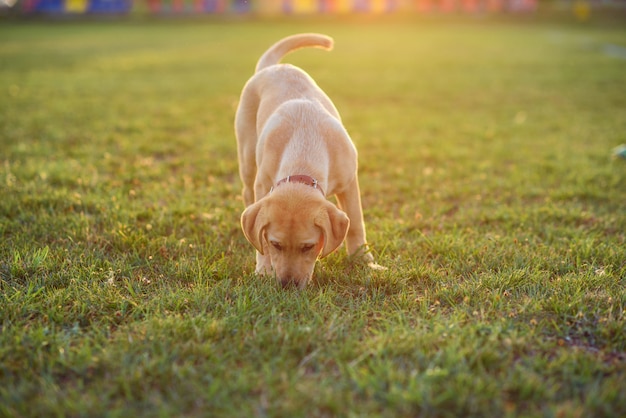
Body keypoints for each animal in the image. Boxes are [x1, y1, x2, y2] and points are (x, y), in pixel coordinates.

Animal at [235, 33, 376, 288]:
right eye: (276, 244)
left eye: (308, 247)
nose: (287, 285)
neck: (304, 149)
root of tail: (271, 67)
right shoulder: (263, 184)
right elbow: (260, 237)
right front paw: (264, 267)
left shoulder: (350, 182)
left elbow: (356, 223)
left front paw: (364, 261)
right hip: (248, 155)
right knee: (247, 192)